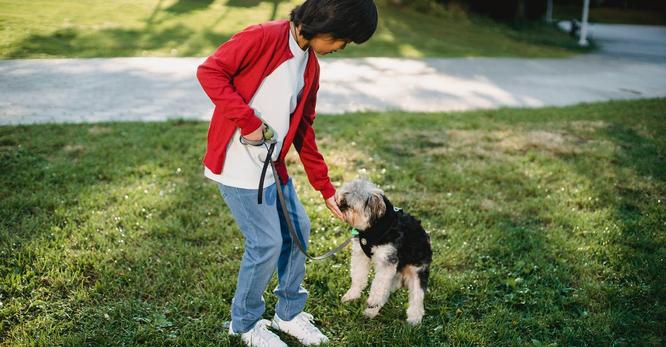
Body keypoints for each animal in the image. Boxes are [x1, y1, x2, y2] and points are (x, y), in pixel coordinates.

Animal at [334, 179, 434, 326]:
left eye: (348, 205)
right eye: (341, 202)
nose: (339, 205)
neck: (373, 227)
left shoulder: (387, 262)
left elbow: (378, 285)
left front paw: (373, 300)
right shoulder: (360, 255)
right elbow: (358, 276)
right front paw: (353, 294)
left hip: (417, 270)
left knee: (417, 295)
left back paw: (414, 318)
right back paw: (371, 312)